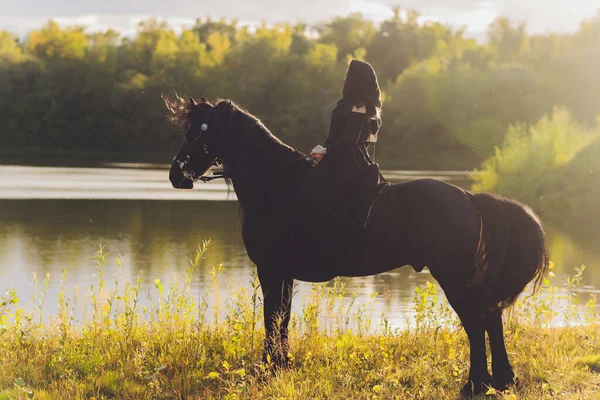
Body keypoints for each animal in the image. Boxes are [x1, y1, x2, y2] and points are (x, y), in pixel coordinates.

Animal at [168, 97, 548, 396]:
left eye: (200, 131)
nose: (175, 175)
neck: (276, 182)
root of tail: (470, 197)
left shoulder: (271, 270)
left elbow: (271, 319)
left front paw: (267, 369)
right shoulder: (283, 274)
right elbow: (283, 319)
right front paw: (282, 366)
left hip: (453, 279)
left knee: (476, 321)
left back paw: (476, 384)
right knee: (492, 315)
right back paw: (502, 380)